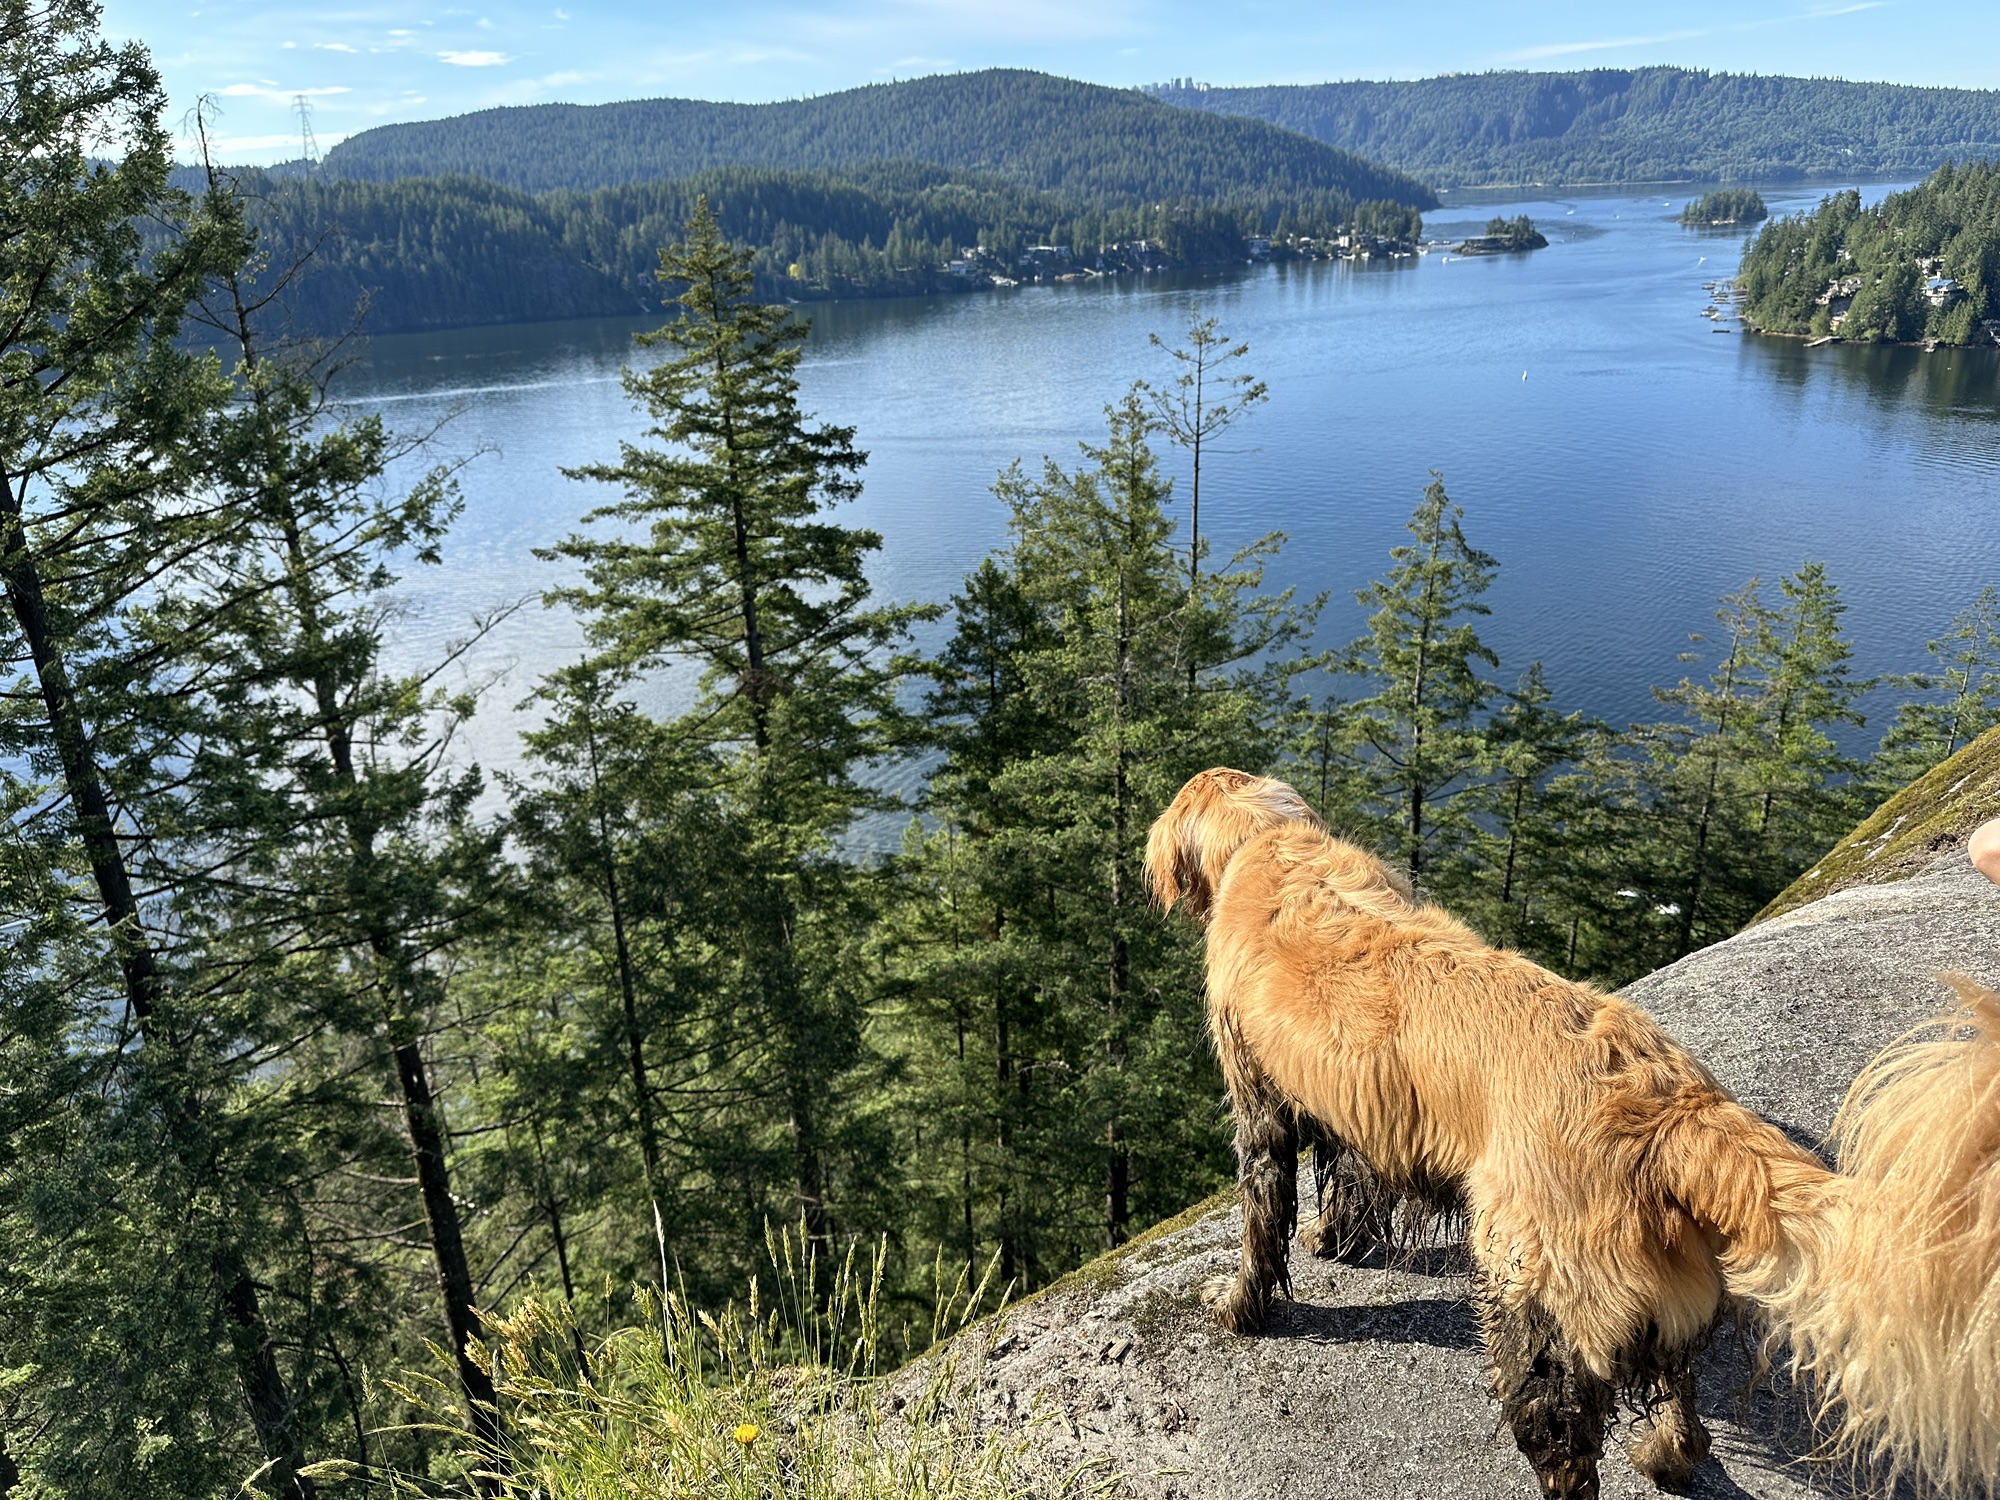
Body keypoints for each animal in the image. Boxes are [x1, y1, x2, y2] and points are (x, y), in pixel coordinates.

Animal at [1144, 776, 2000, 1500]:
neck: (1269, 843)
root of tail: (1670, 1110)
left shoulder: (1258, 1095)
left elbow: (1263, 1217)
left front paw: (1240, 1305)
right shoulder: (1352, 1108)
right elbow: (1350, 1179)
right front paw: (1336, 1238)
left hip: (1531, 1309)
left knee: (1567, 1457)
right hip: (1658, 1306)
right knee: (1681, 1411)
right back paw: (1665, 1458)